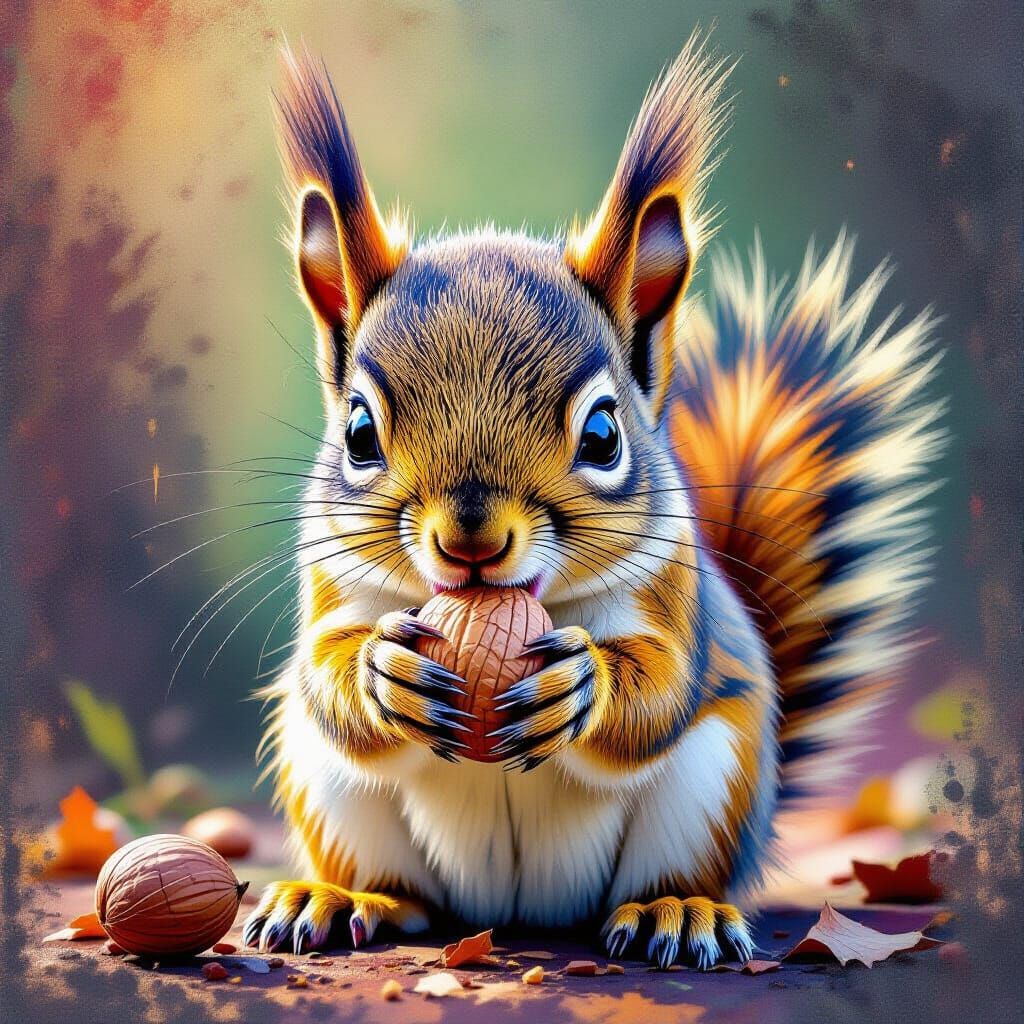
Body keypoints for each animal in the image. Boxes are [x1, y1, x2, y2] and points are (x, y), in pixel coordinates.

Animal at [243, 34, 946, 969]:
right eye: (359, 431)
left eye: (605, 435)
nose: (471, 539)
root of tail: (513, 913)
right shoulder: (330, 581)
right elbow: (325, 670)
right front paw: (379, 671)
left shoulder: (675, 591)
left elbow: (662, 689)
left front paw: (581, 686)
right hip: (329, 789)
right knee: (401, 887)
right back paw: (343, 897)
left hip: (711, 783)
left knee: (669, 863)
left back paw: (674, 913)